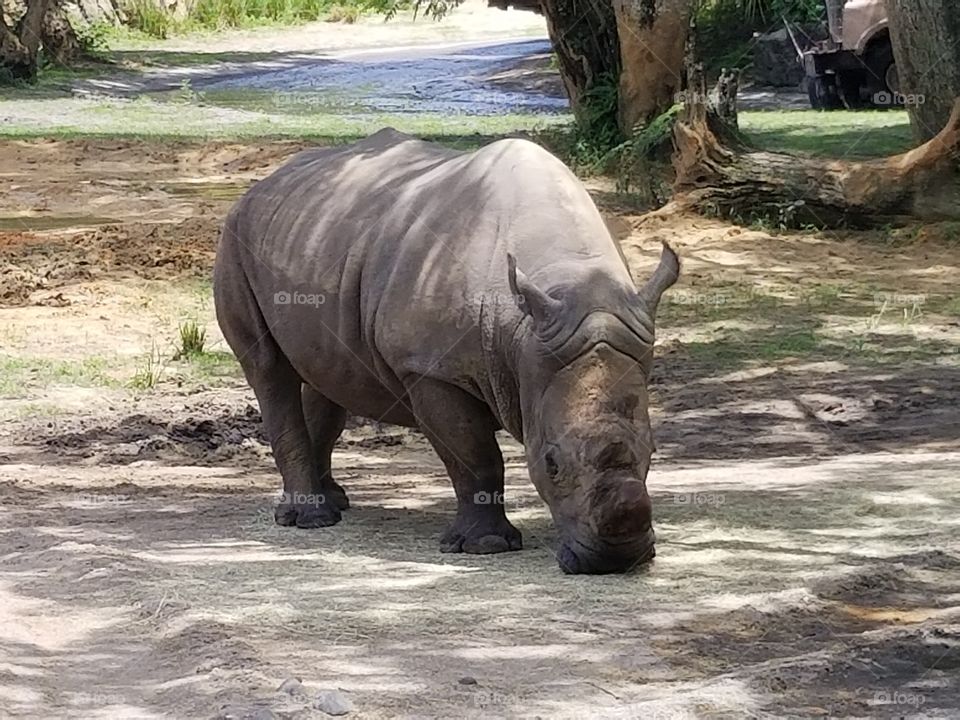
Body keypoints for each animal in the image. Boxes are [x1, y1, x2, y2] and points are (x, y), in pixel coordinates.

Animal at [216, 128, 684, 572]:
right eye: (551, 463)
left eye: (653, 453)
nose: (617, 560)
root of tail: (264, 182)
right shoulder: (430, 370)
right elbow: (475, 454)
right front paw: (486, 547)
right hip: (235, 238)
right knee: (268, 369)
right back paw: (310, 521)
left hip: (314, 237)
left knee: (327, 375)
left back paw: (335, 502)